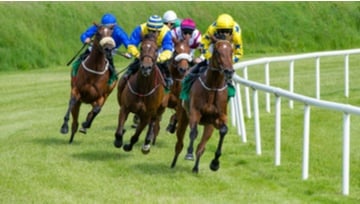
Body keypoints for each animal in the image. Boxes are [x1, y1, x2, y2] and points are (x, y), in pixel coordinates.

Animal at [170, 39, 235, 172]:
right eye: (217, 51)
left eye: (231, 51)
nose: (229, 71)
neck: (213, 86)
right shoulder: (195, 112)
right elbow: (193, 132)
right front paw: (189, 154)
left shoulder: (218, 117)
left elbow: (223, 130)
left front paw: (215, 163)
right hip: (183, 116)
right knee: (179, 142)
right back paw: (173, 163)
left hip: (208, 125)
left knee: (201, 147)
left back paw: (196, 168)